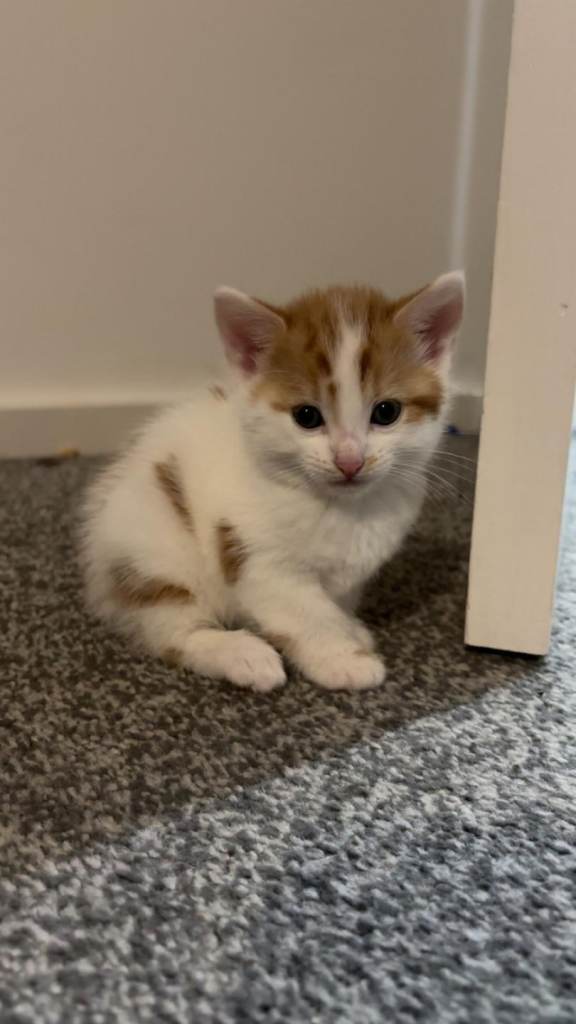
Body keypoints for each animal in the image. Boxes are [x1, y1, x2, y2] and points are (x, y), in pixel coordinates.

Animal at [80, 271, 464, 692]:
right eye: (307, 416)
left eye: (386, 412)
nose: (349, 460)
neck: (341, 508)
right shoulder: (254, 556)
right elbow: (308, 613)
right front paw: (342, 659)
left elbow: (335, 602)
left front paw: (350, 630)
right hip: (153, 547)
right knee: (175, 629)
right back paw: (240, 653)